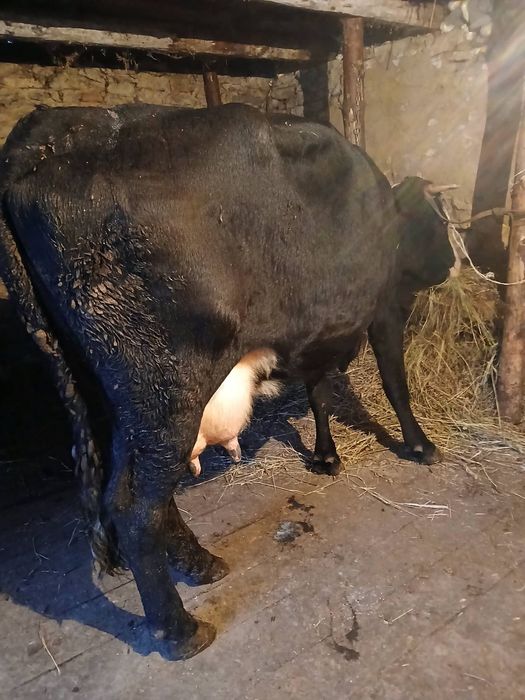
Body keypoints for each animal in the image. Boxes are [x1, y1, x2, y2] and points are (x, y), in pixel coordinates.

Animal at [0, 102, 456, 659]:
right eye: (439, 222)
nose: (452, 264)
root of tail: (44, 128)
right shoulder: (385, 305)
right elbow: (395, 382)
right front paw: (420, 446)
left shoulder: (318, 329)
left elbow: (319, 391)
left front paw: (325, 456)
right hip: (166, 387)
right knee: (134, 506)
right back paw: (179, 629)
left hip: (115, 394)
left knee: (141, 493)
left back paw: (200, 563)